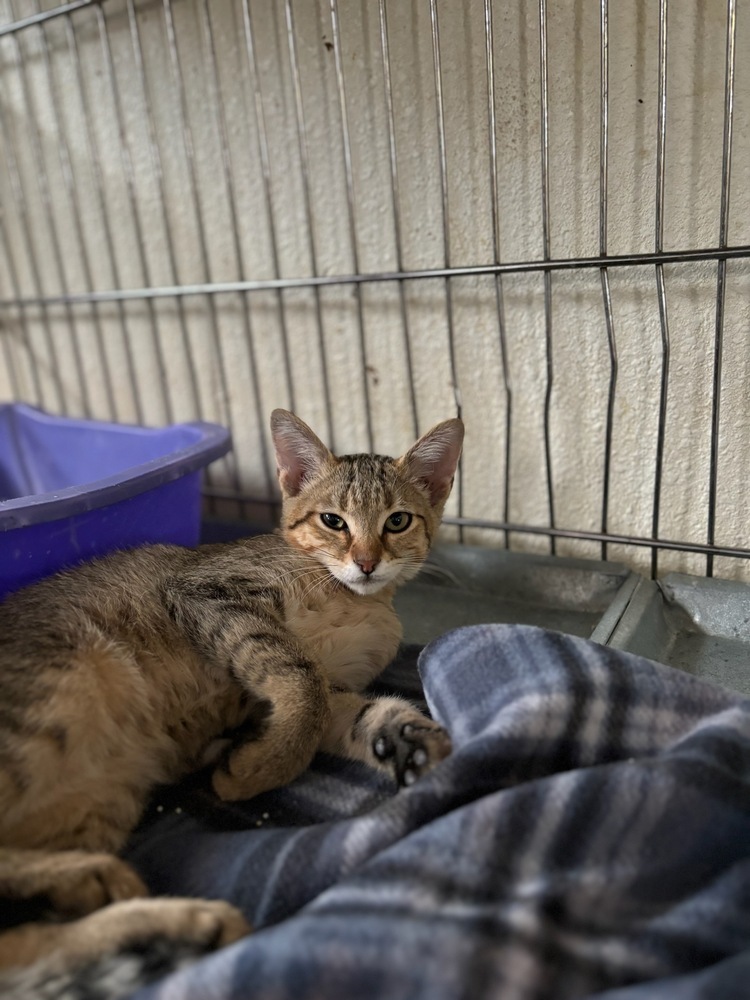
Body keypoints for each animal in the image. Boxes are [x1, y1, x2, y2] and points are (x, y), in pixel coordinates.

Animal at [0, 408, 464, 992]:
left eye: (397, 521)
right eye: (332, 521)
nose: (365, 562)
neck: (354, 600)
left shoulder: (338, 688)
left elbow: (345, 710)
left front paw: (406, 740)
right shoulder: (211, 593)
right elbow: (299, 681)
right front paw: (258, 769)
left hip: (98, 801)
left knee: (20, 943)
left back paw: (166, 926)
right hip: (51, 702)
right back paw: (110, 889)